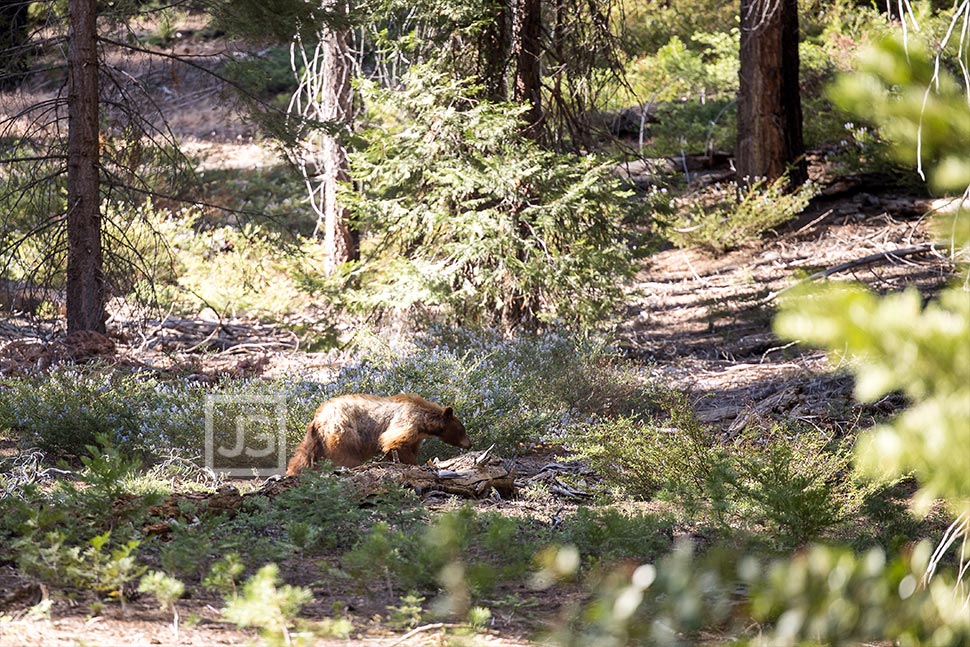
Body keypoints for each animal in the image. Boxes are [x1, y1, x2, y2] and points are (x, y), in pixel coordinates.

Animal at [284, 392, 468, 474]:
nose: (469, 443)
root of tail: (318, 419)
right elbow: (394, 441)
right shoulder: (408, 420)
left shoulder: (416, 435)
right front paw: (415, 463)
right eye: (462, 429)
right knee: (347, 455)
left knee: (302, 456)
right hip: (342, 433)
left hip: (314, 439)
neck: (425, 421)